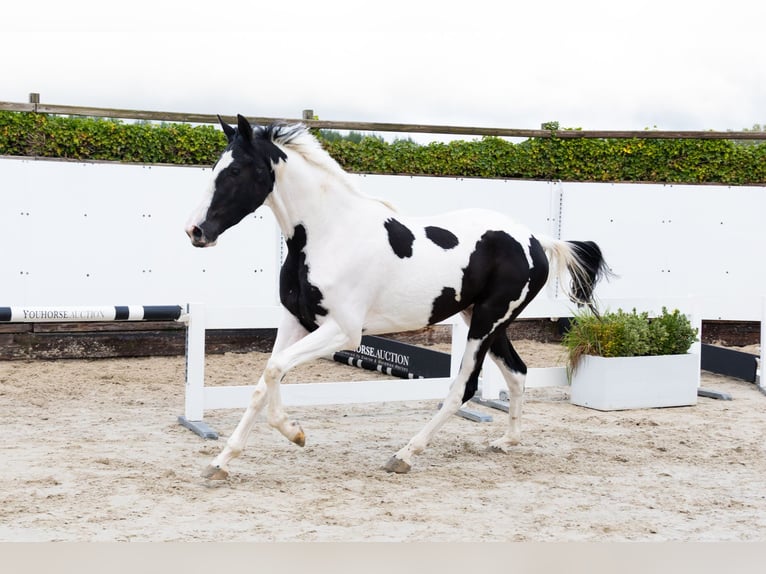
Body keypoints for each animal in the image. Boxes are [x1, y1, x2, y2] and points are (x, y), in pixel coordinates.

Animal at [185, 114, 610, 478]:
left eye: (235, 170)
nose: (195, 231)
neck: (329, 234)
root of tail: (538, 240)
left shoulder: (344, 331)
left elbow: (274, 371)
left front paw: (295, 433)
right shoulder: (294, 321)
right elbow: (265, 380)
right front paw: (220, 463)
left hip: (487, 322)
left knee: (463, 388)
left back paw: (405, 454)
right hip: (485, 320)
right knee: (518, 374)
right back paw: (507, 441)